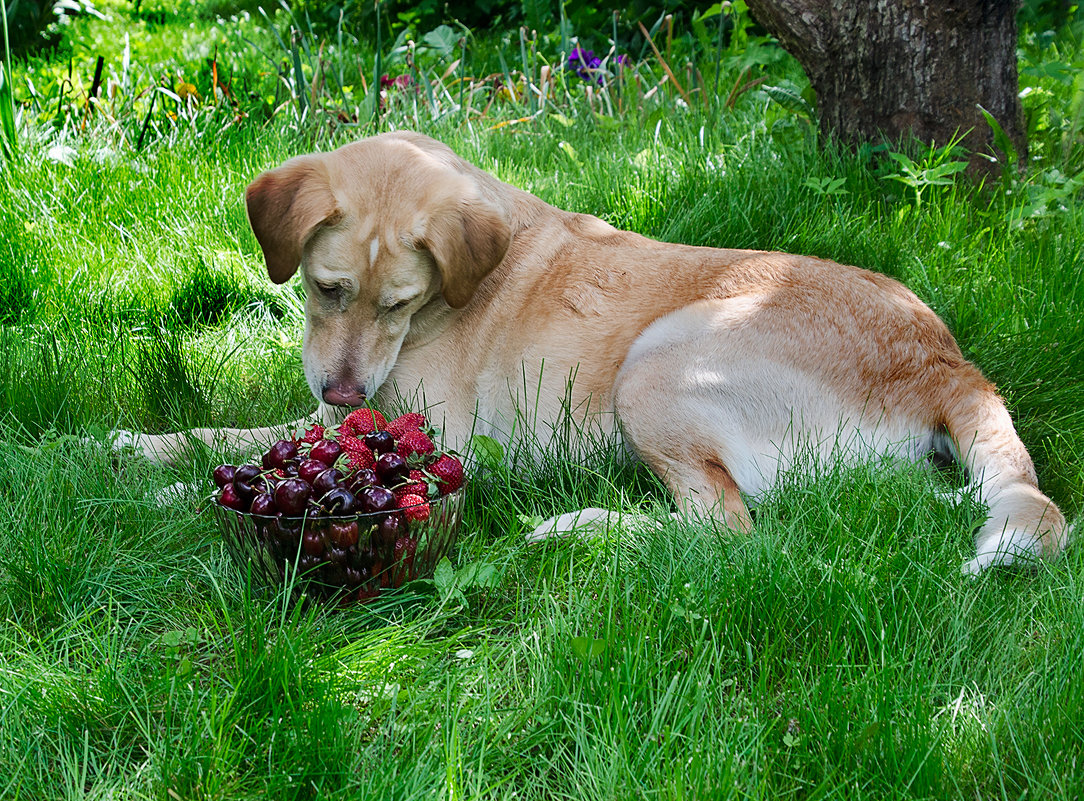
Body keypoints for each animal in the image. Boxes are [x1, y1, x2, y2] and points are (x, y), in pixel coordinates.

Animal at [112, 128, 1066, 572]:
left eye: (400, 303)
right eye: (326, 287)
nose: (346, 390)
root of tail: (946, 360)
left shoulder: (430, 441)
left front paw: (160, 498)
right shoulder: (337, 412)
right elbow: (227, 436)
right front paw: (120, 447)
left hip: (655, 366)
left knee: (725, 531)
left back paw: (579, 526)